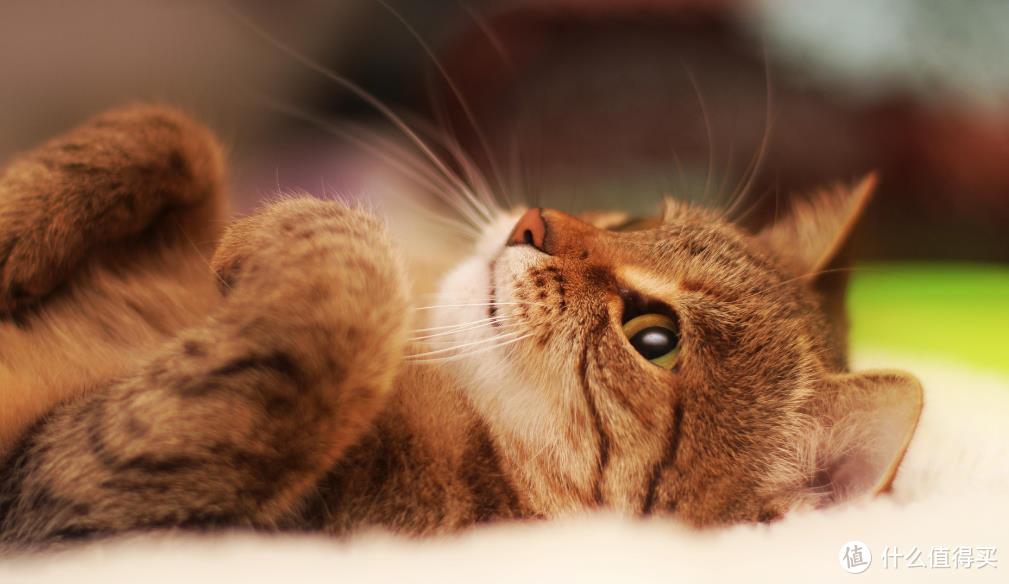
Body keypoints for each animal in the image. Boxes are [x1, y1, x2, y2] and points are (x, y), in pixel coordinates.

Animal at [0, 106, 924, 552]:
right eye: (632, 215)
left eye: (654, 339)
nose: (532, 220)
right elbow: (178, 135)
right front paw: (21, 213)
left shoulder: (74, 481)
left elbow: (347, 296)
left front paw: (285, 228)